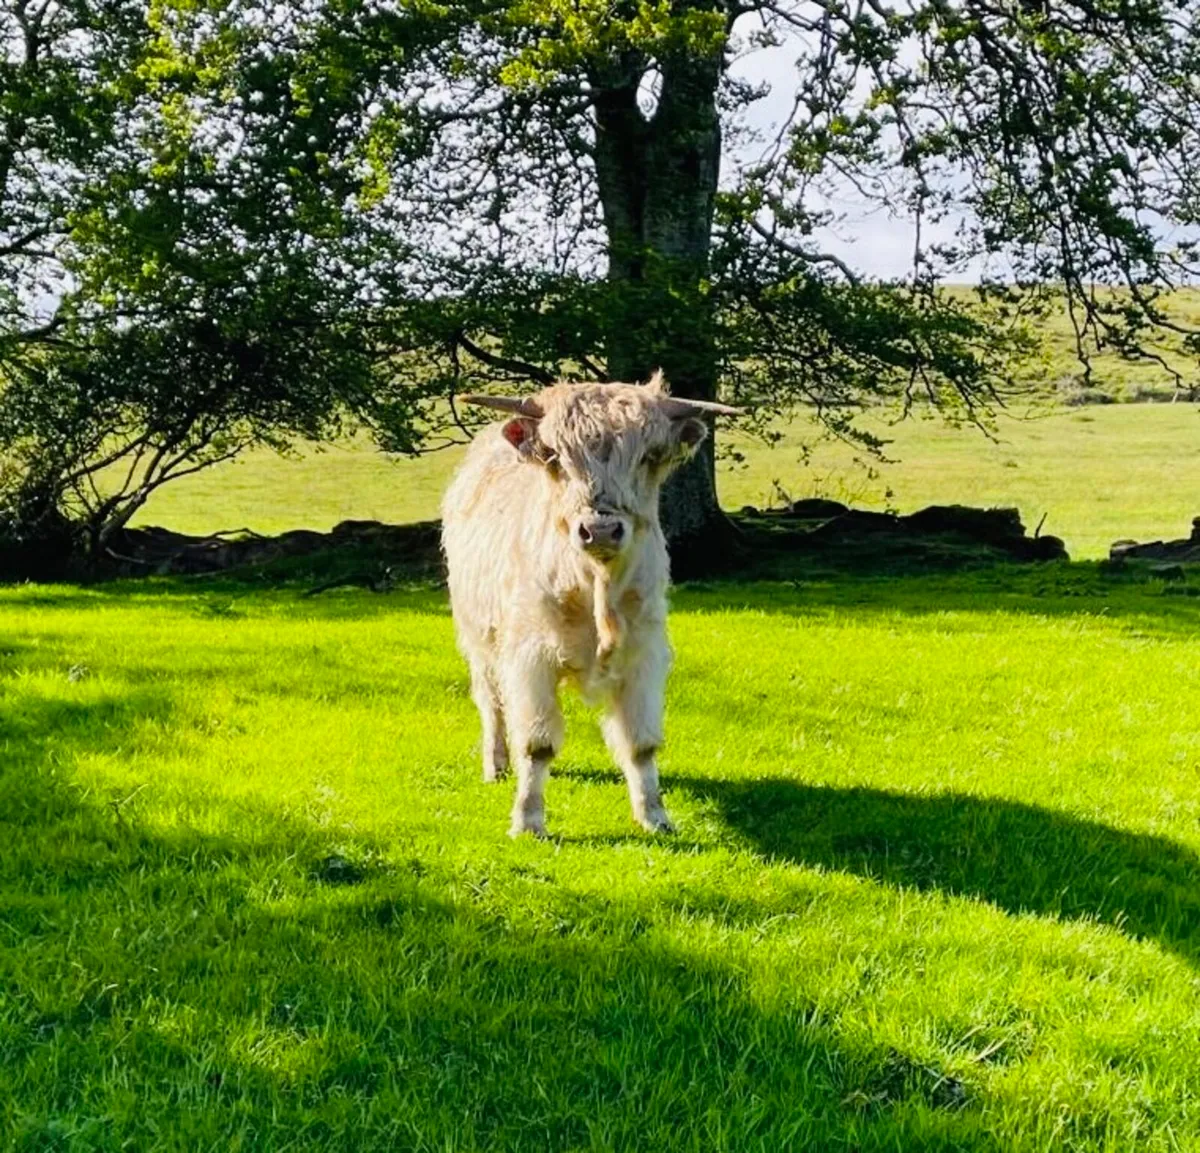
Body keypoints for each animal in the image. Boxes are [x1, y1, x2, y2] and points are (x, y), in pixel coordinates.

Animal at [441, 370, 741, 837]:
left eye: (648, 456)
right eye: (555, 458)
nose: (599, 530)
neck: (594, 589)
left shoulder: (643, 654)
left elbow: (641, 744)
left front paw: (655, 816)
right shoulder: (530, 657)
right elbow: (537, 743)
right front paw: (528, 820)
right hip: (479, 639)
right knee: (491, 704)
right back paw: (496, 764)